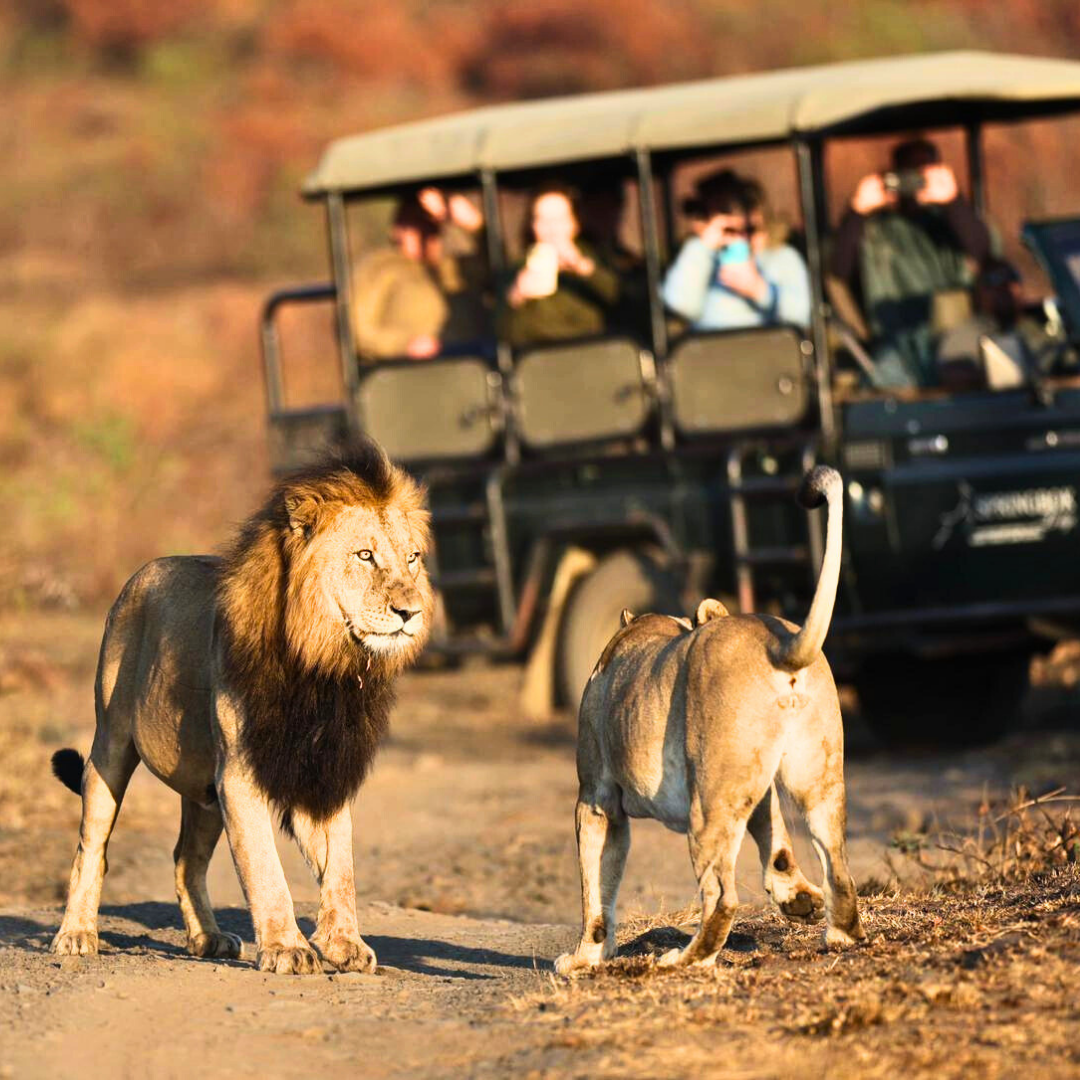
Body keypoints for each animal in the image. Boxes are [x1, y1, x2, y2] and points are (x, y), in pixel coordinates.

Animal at [50, 439, 433, 975]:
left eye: (413, 557)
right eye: (365, 555)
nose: (411, 611)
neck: (322, 665)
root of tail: (143, 572)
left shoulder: (326, 768)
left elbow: (341, 865)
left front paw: (344, 943)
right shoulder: (238, 772)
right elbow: (265, 867)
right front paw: (287, 948)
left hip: (203, 788)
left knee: (185, 859)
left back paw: (207, 938)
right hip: (111, 746)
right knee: (92, 847)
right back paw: (76, 934)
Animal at [555, 465, 864, 975]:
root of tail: (780, 645)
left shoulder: (596, 798)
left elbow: (595, 888)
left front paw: (584, 957)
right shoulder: (756, 783)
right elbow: (776, 838)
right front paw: (797, 899)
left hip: (708, 804)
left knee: (721, 896)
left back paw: (683, 960)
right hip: (813, 779)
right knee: (838, 865)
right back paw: (841, 933)